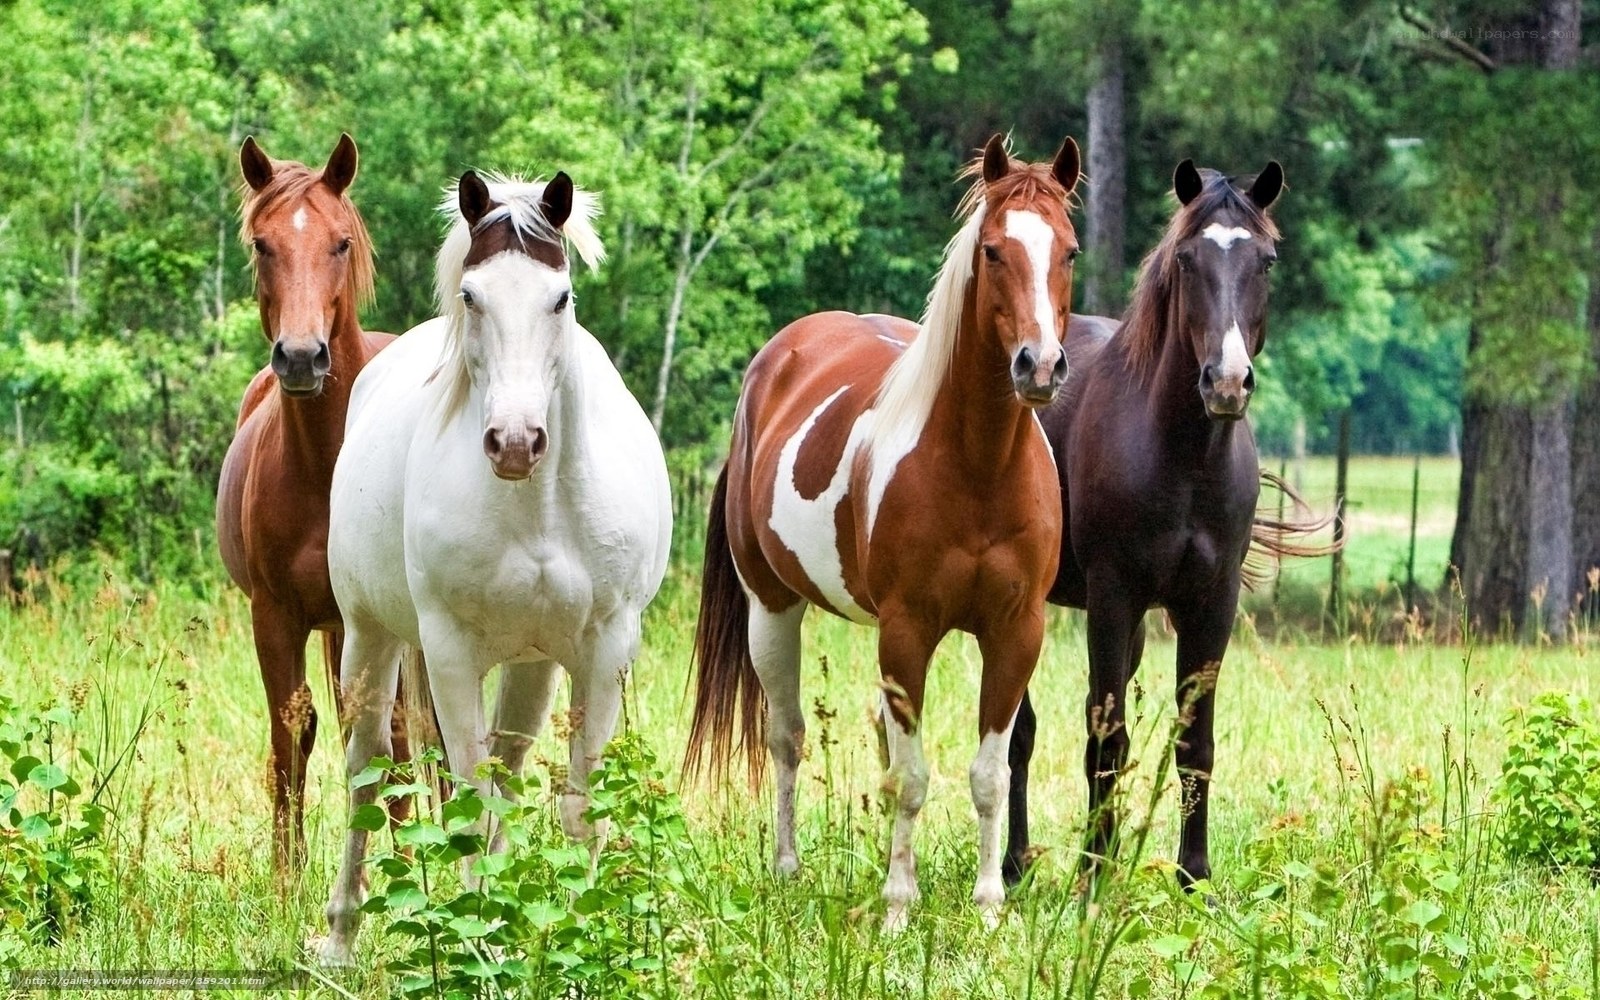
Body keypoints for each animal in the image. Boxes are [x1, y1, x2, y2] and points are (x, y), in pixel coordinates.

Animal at [216, 133, 418, 870]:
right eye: (262, 244)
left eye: (339, 242)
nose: (301, 357)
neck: (325, 467)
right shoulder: (275, 616)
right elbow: (291, 733)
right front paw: (287, 874)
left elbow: (394, 736)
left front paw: (411, 867)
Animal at [316, 169, 672, 964]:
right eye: (472, 296)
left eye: (560, 297)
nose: (515, 441)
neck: (537, 509)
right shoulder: (449, 652)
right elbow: (469, 802)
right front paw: (480, 944)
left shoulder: (605, 648)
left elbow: (575, 805)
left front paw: (575, 939)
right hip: (369, 636)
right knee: (365, 770)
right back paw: (341, 937)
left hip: (532, 666)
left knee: (504, 775)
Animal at [686, 135, 1081, 932]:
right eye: (993, 250)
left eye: (1070, 251)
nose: (1041, 366)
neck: (979, 467)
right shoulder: (906, 631)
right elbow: (913, 776)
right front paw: (900, 908)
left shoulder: (1016, 632)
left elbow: (987, 774)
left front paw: (990, 907)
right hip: (771, 609)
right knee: (787, 737)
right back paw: (787, 868)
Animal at [1001, 159, 1322, 891]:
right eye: (1186, 259)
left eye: (1265, 261)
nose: (1227, 382)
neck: (1183, 457)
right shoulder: (1112, 596)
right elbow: (1106, 736)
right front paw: (1093, 877)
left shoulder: (1211, 602)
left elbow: (1194, 740)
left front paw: (1194, 877)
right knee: (1019, 730)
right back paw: (1015, 863)